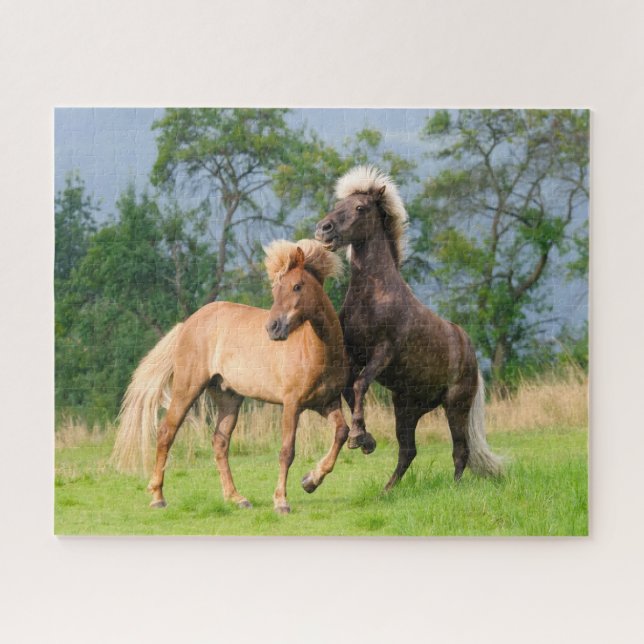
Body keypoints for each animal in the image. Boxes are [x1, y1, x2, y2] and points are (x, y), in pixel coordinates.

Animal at [111, 239, 352, 514]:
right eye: (275, 289)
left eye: (297, 286)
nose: (273, 328)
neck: (318, 350)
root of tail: (187, 324)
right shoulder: (292, 405)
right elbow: (287, 451)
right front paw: (281, 501)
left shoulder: (326, 403)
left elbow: (342, 433)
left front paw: (310, 481)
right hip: (187, 388)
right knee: (166, 433)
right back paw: (158, 497)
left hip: (229, 398)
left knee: (220, 442)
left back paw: (236, 498)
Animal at [315, 165, 503, 490]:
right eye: (339, 204)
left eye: (360, 208)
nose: (323, 229)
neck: (373, 296)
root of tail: (471, 354)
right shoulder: (352, 355)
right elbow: (350, 389)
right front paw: (365, 440)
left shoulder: (384, 352)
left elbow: (360, 384)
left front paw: (357, 437)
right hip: (407, 407)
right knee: (408, 451)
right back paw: (386, 491)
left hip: (455, 405)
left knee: (461, 450)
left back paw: (454, 488)